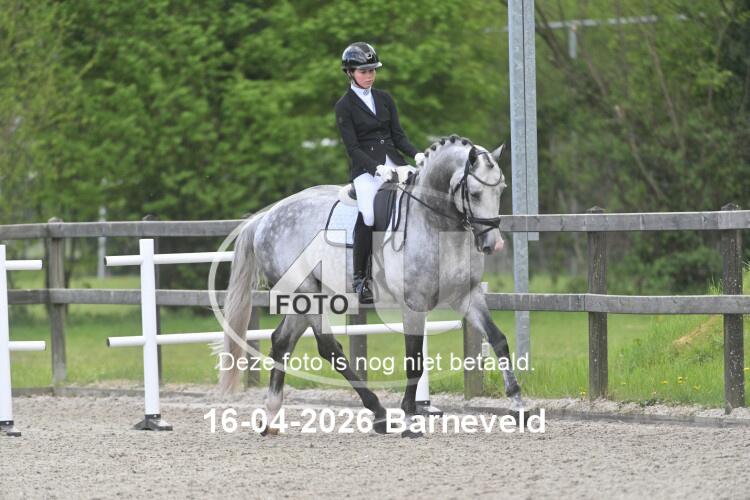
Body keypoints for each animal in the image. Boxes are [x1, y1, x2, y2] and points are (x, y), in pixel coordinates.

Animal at [218, 135, 525, 434]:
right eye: (474, 194)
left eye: (502, 190)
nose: (493, 245)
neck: (434, 223)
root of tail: (266, 218)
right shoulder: (413, 304)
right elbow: (414, 361)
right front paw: (410, 419)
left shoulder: (467, 295)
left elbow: (498, 339)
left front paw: (519, 405)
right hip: (306, 293)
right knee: (328, 347)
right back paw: (378, 412)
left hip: (311, 296)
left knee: (282, 341)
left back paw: (271, 417)